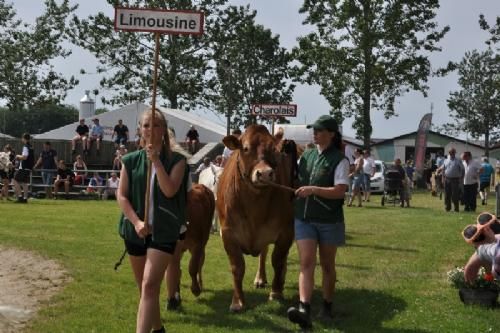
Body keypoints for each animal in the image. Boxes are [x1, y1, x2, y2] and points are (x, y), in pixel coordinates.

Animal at [217, 124, 294, 312]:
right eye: (245, 148)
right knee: (263, 252)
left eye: (274, 149)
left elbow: (278, 260)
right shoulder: (228, 233)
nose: (265, 174)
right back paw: (260, 279)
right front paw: (237, 302)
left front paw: (276, 292)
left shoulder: (286, 232)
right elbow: (237, 266)